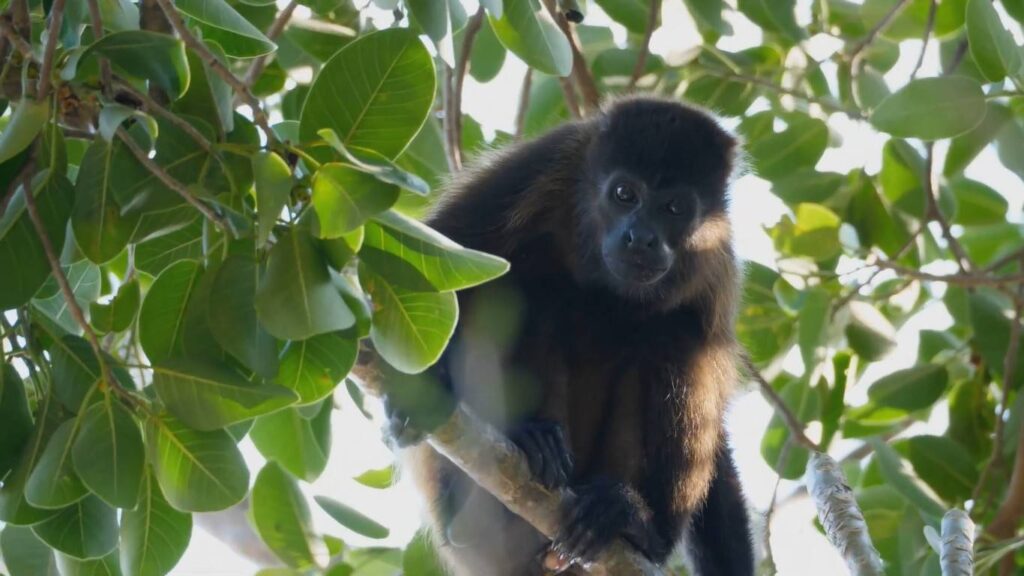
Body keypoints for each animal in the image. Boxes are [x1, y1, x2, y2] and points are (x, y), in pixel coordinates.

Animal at [374, 96, 754, 576]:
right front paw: (419, 392)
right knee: (526, 286)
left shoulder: (716, 260)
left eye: (674, 208)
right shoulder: (548, 161)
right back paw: (530, 441)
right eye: (624, 194)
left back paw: (631, 523)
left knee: (676, 338)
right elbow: (442, 255)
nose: (641, 238)